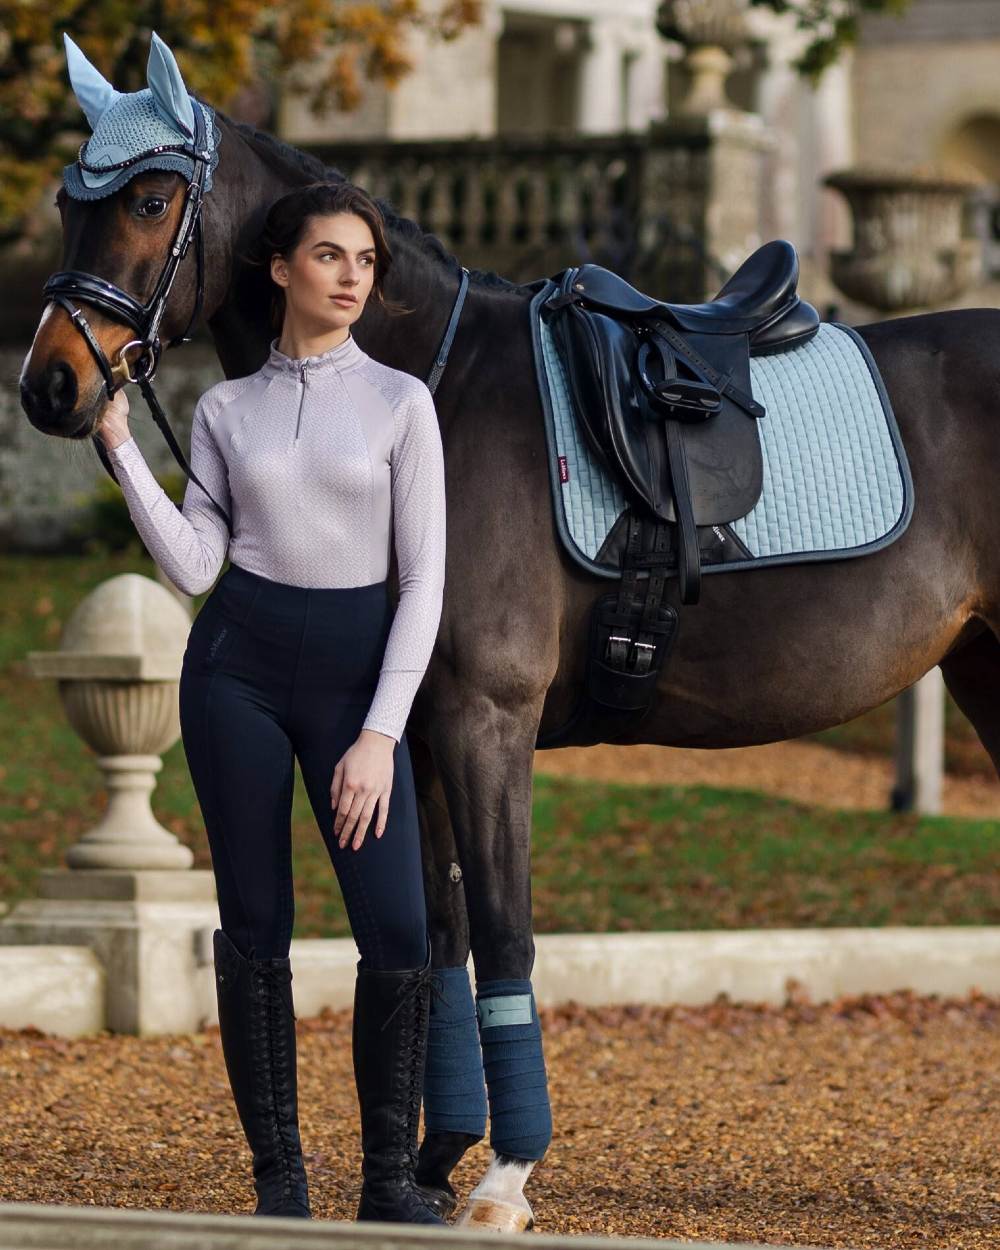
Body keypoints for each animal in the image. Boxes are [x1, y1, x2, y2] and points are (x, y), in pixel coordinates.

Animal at [19, 100, 1000, 1230]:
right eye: (66, 203)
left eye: (148, 199)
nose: (50, 384)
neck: (433, 389)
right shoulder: (415, 739)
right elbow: (439, 937)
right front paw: (430, 1162)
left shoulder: (487, 722)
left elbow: (502, 931)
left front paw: (502, 1179)